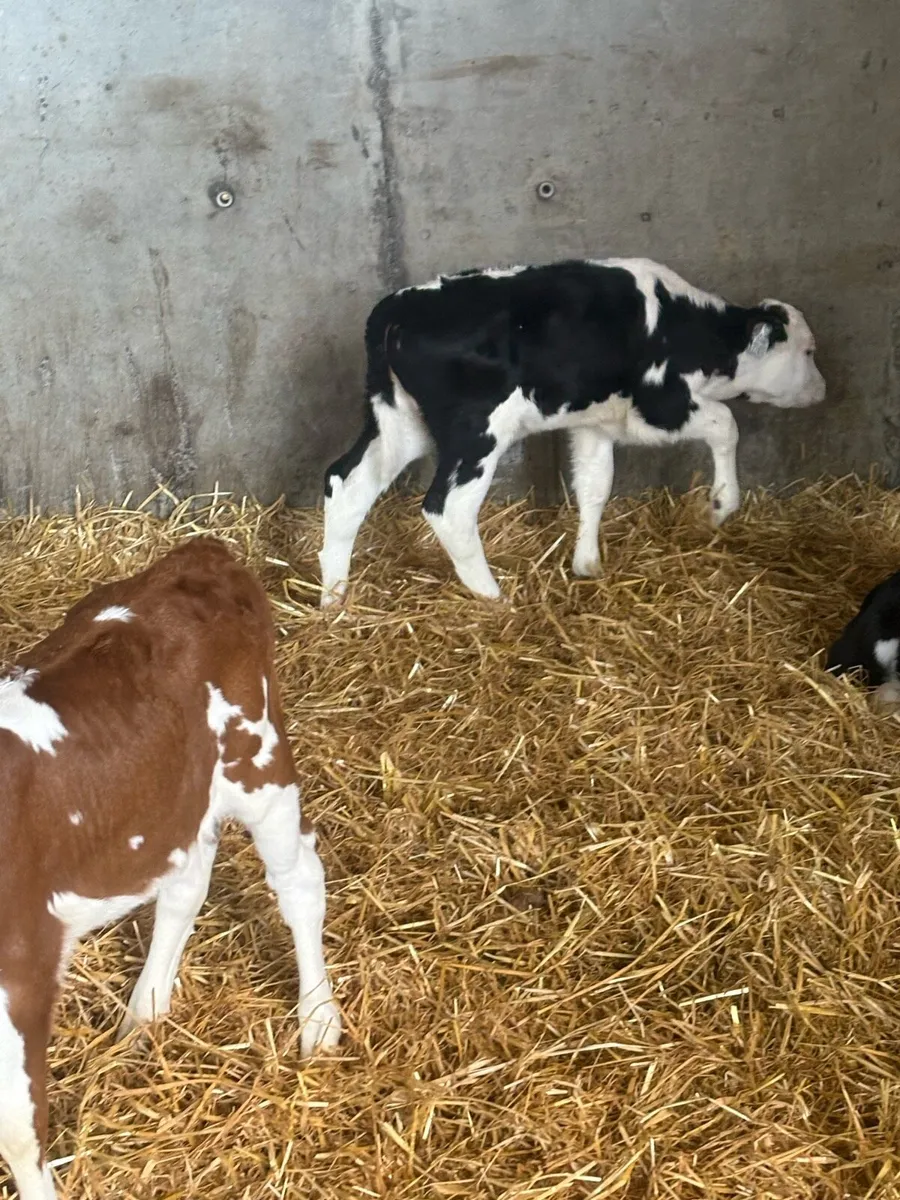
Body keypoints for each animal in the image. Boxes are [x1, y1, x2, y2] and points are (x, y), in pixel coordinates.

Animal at [0, 538, 341, 1200]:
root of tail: (199, 553)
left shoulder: (22, 971)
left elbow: (18, 1131)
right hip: (177, 799)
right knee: (186, 883)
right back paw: (145, 1012)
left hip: (257, 762)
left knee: (300, 885)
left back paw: (318, 1021)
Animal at [319, 258, 825, 604]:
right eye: (807, 351)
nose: (822, 389)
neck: (685, 328)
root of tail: (395, 308)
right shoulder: (659, 407)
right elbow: (726, 424)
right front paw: (720, 506)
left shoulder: (595, 423)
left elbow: (595, 485)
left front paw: (587, 563)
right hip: (477, 433)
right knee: (449, 507)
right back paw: (493, 599)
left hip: (399, 421)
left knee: (346, 484)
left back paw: (334, 598)